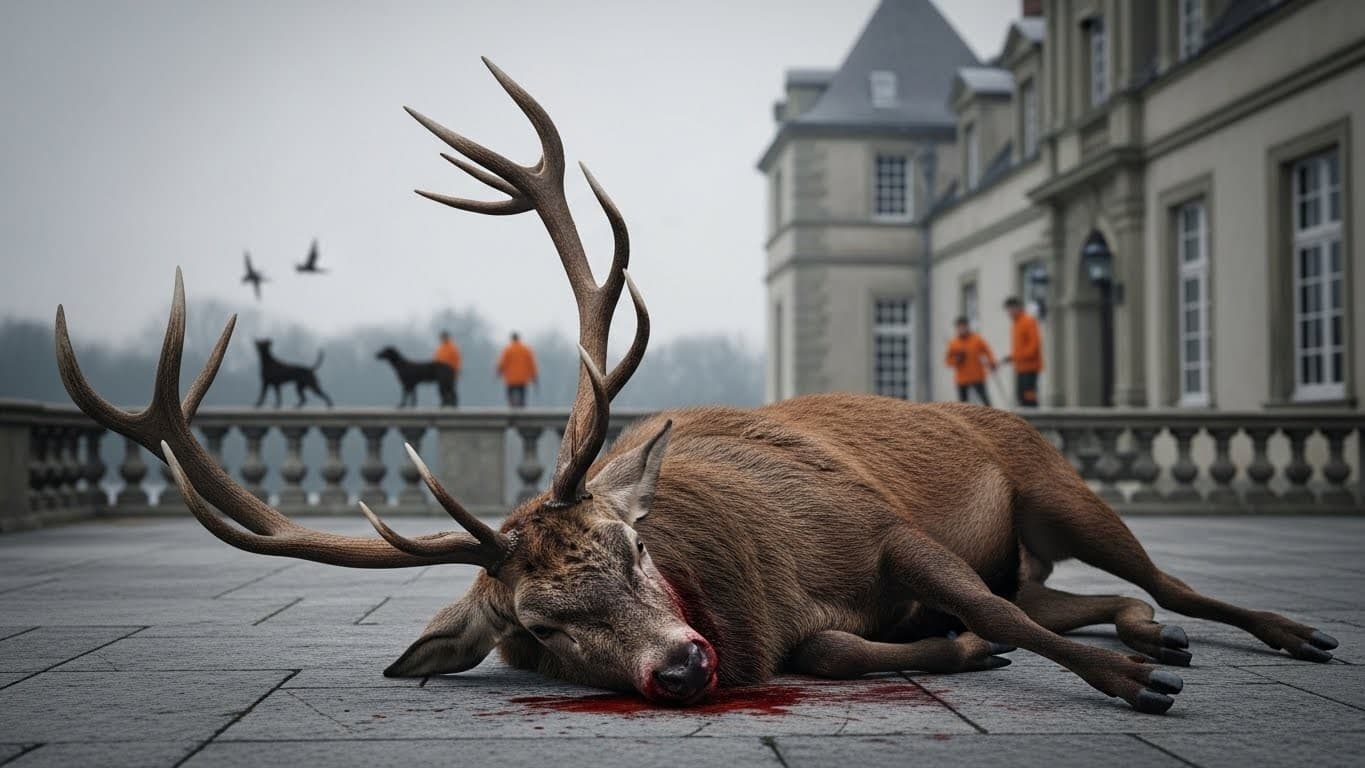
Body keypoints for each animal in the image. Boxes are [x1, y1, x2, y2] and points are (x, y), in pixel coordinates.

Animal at [55, 59, 1339, 716]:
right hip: (1032, 541)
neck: (763, 584)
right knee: (1077, 593)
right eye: (535, 624)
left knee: (1154, 576)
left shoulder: (882, 526)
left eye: (633, 549)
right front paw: (976, 655)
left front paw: (1122, 684)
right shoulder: (812, 628)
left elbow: (993, 613)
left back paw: (1266, 631)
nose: (678, 666)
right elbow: (900, 643)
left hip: (1059, 486)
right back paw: (1145, 634)